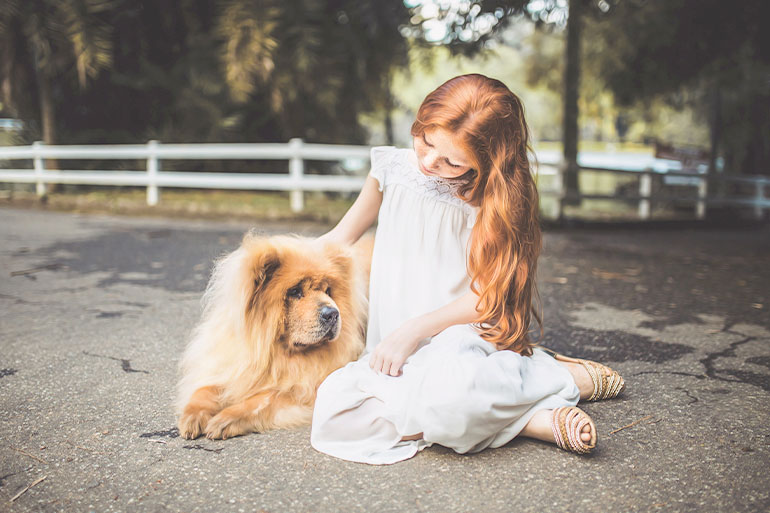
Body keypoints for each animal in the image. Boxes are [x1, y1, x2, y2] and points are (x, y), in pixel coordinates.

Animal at [175, 231, 372, 440]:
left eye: (328, 291)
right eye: (295, 291)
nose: (333, 313)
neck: (277, 354)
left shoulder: (306, 389)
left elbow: (265, 398)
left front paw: (225, 419)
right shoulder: (232, 365)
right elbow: (204, 389)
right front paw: (192, 416)